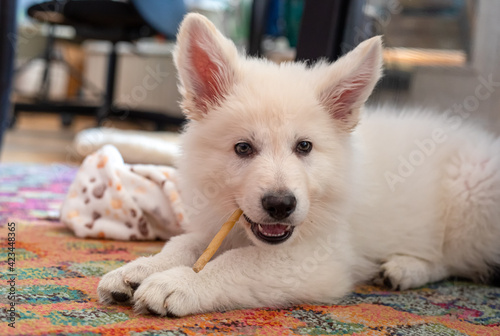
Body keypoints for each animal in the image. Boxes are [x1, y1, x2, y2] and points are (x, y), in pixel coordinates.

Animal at [97, 13, 500, 318]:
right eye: (243, 148)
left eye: (304, 147)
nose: (280, 205)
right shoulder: (221, 225)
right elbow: (183, 242)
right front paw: (139, 269)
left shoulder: (317, 259)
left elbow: (237, 263)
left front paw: (179, 282)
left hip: (471, 191)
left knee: (456, 259)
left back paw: (407, 268)